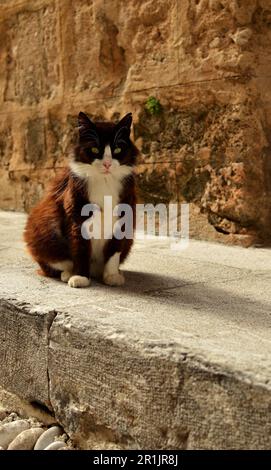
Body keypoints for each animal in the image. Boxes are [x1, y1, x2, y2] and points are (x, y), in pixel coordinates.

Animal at [23, 112, 138, 288]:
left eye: (117, 149)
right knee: (55, 264)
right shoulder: (76, 217)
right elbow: (81, 249)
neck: (105, 182)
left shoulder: (124, 218)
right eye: (94, 149)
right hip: (41, 234)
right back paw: (68, 273)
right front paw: (80, 277)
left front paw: (112, 275)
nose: (107, 164)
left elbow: (114, 253)